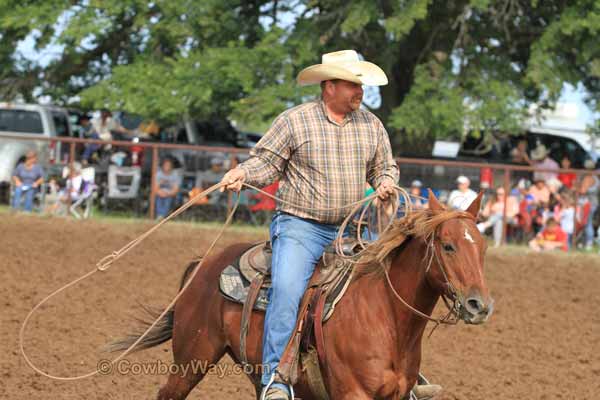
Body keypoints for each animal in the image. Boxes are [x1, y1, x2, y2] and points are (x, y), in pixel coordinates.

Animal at [110, 192, 494, 398]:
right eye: (448, 246)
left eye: (483, 246)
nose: (480, 305)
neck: (387, 318)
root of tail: (203, 265)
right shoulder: (353, 393)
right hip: (192, 358)